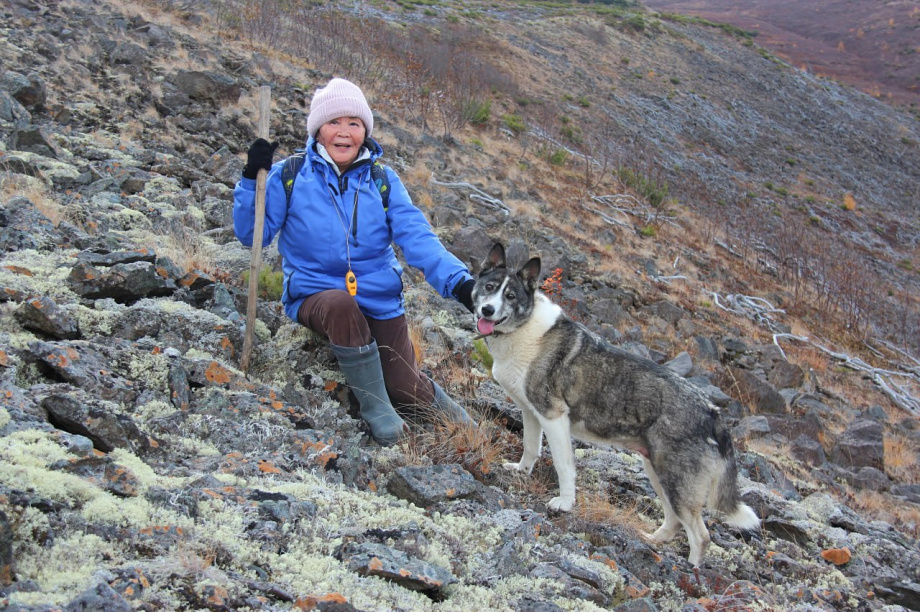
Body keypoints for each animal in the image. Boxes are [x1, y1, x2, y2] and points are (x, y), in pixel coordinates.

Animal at [470, 243, 760, 564]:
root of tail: (712, 412)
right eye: (489, 287)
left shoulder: (554, 417)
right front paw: (521, 471)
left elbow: (563, 465)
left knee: (700, 535)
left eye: (510, 296)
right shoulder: (532, 413)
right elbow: (530, 449)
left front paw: (564, 504)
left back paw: (692, 570)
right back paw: (652, 540)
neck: (525, 329)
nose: (487, 310)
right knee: (674, 521)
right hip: (658, 471)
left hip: (676, 480)